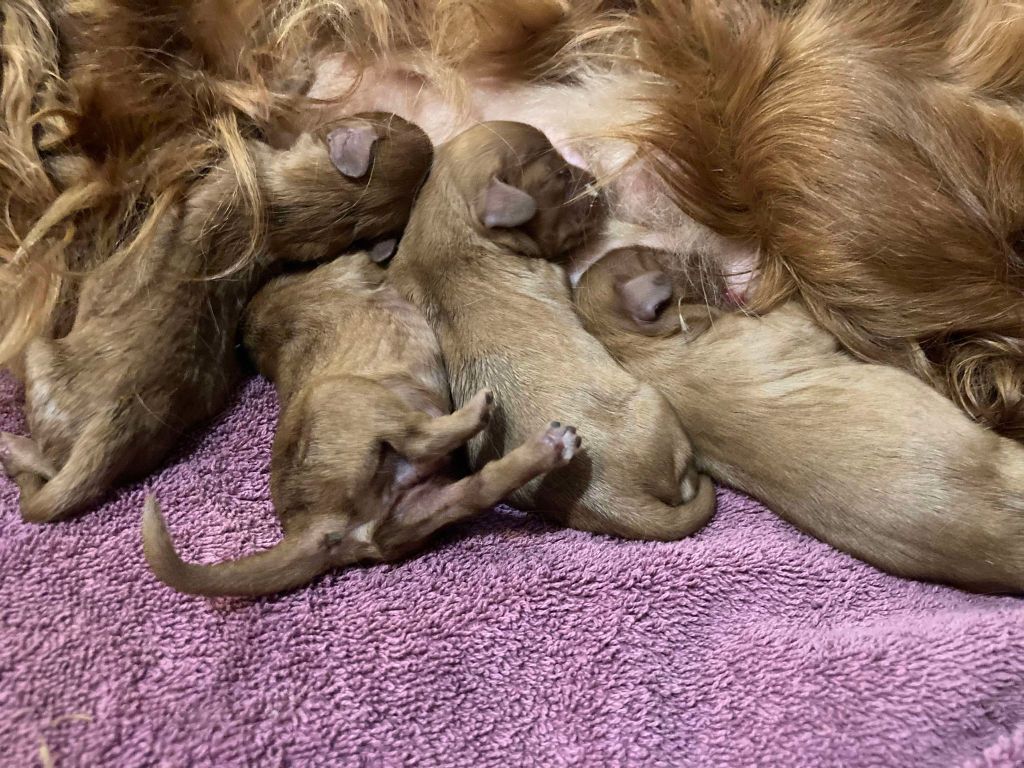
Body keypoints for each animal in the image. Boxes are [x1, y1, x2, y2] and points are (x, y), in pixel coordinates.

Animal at [0, 112, 432, 524]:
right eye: (395, 120)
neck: (286, 209)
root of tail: (109, 430)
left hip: (40, 357)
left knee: (43, 458)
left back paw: (9, 445)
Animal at [142, 256, 585, 598]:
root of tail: (316, 526)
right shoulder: (353, 266)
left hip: (419, 506)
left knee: (478, 489)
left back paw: (549, 447)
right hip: (349, 395)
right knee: (422, 440)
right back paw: (484, 412)